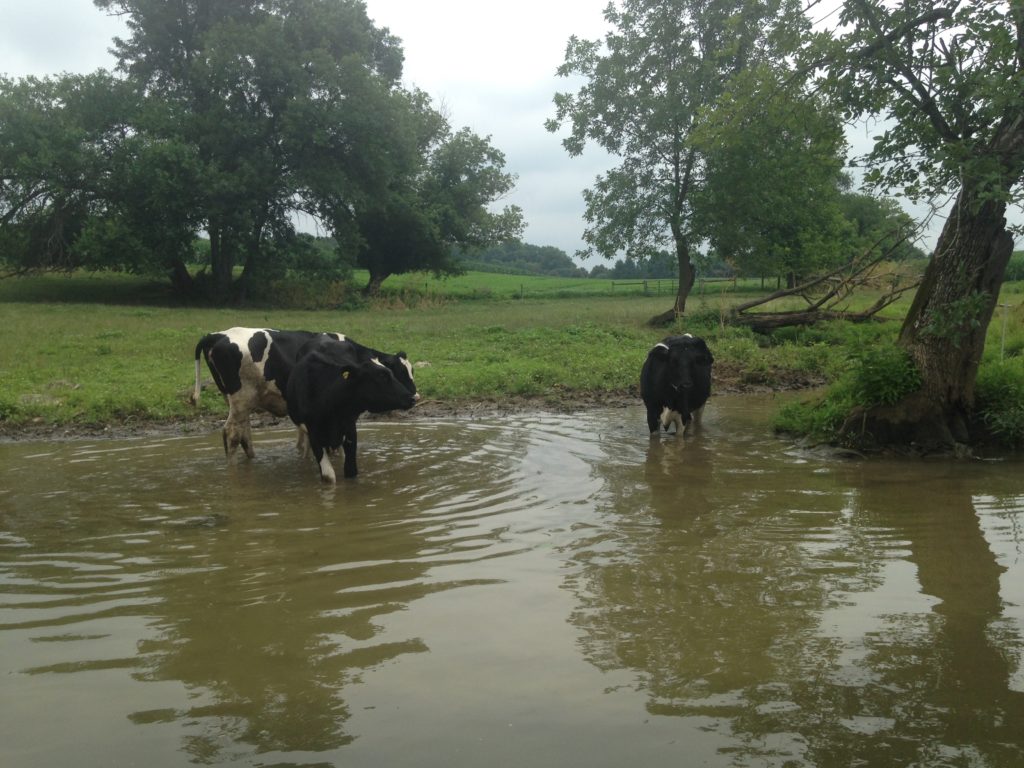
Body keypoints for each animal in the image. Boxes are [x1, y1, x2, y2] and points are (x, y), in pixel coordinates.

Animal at [192, 327, 415, 460]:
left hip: (238, 402)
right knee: (232, 434)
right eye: (400, 371)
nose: (415, 396)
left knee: (243, 433)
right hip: (241, 398)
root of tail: (217, 335)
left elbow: (304, 439)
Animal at [286, 335, 417, 481]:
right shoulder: (314, 434)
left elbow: (351, 470)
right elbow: (328, 476)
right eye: (382, 377)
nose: (413, 398)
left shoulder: (349, 429)